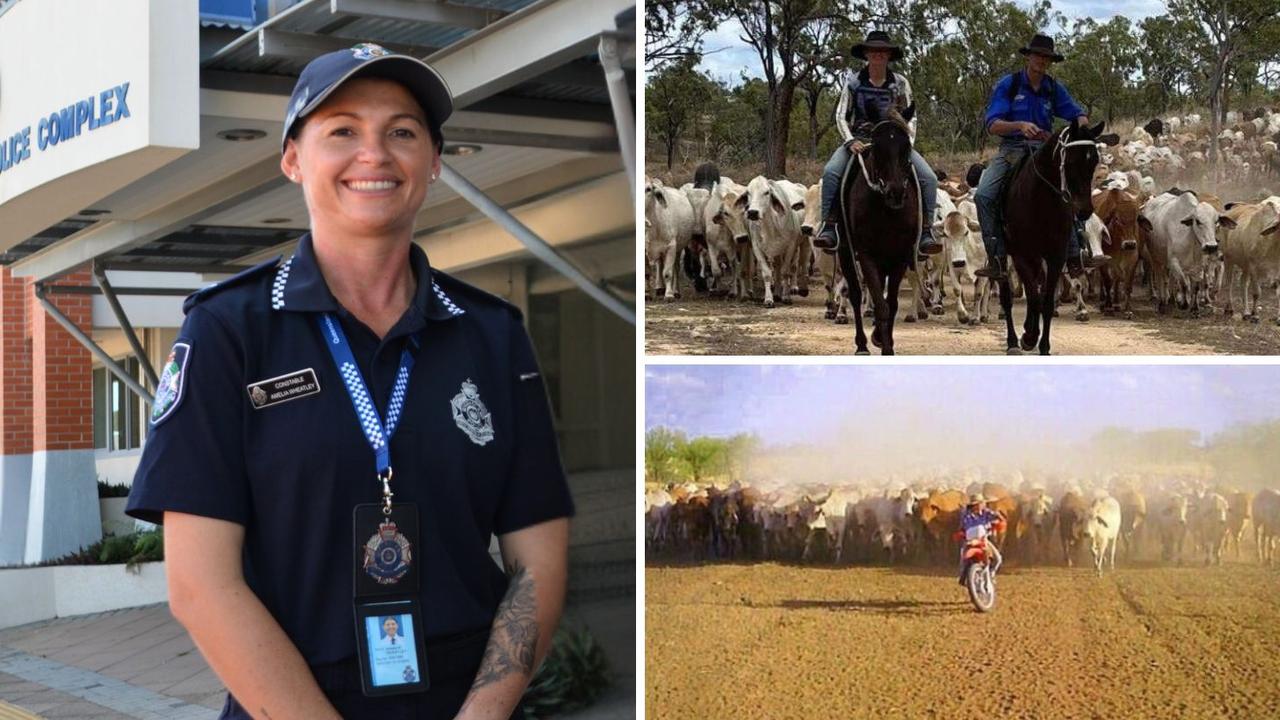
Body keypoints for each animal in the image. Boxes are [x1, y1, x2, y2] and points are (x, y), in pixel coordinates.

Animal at [829, 103, 921, 353]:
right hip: (846, 253)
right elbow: (881, 305)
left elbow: (892, 303)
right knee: (854, 292)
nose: (895, 192)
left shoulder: (899, 256)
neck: (886, 210)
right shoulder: (866, 255)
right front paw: (883, 345)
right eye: (877, 147)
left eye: (906, 147)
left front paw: (883, 339)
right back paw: (861, 345)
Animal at [998, 119, 1111, 353]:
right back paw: (1013, 341)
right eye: (1071, 161)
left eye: (1094, 161)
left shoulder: (1055, 256)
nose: (1084, 210)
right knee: (1007, 296)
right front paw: (1029, 337)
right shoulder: (1022, 255)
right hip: (1003, 255)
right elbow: (1033, 297)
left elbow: (1046, 301)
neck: (1040, 200)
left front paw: (1043, 345)